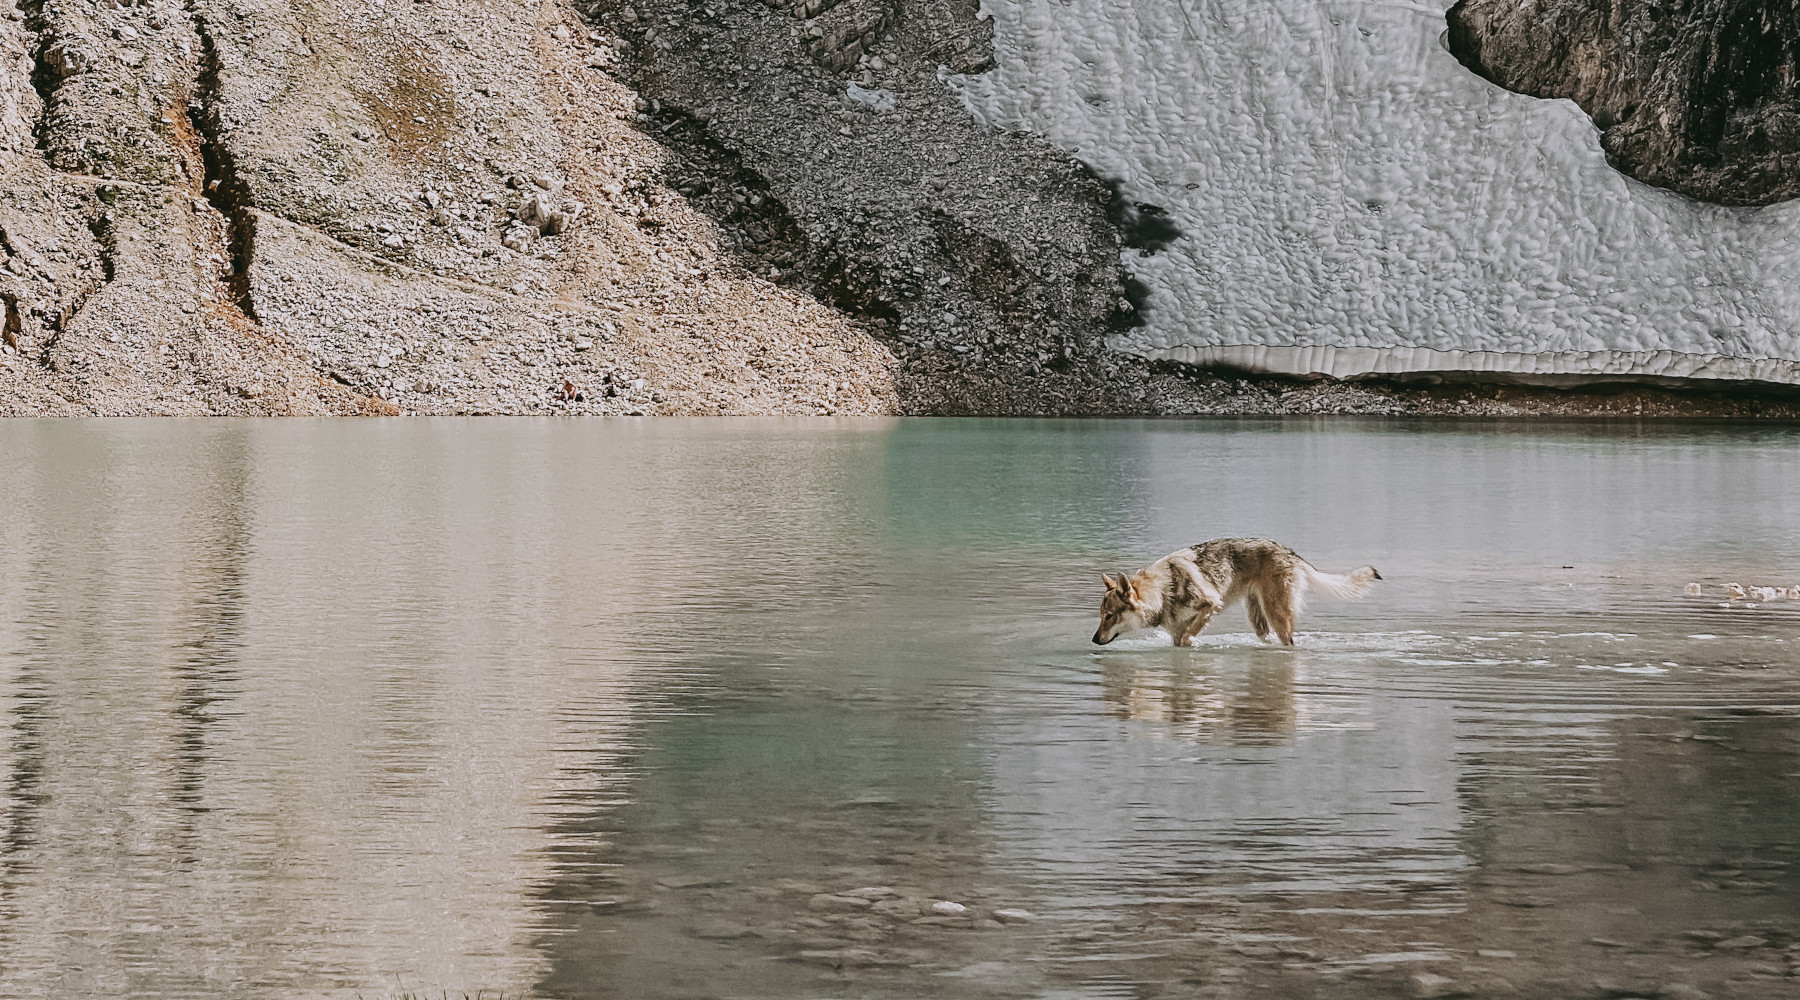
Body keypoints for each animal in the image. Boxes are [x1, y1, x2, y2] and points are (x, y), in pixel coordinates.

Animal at [1093, 538, 1381, 647]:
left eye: (1109, 616)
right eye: (1101, 616)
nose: (1094, 640)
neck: (1164, 590)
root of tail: (1289, 552)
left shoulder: (1212, 604)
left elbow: (1189, 635)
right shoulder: (1175, 632)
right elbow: (1181, 640)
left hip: (1277, 617)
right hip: (1259, 621)